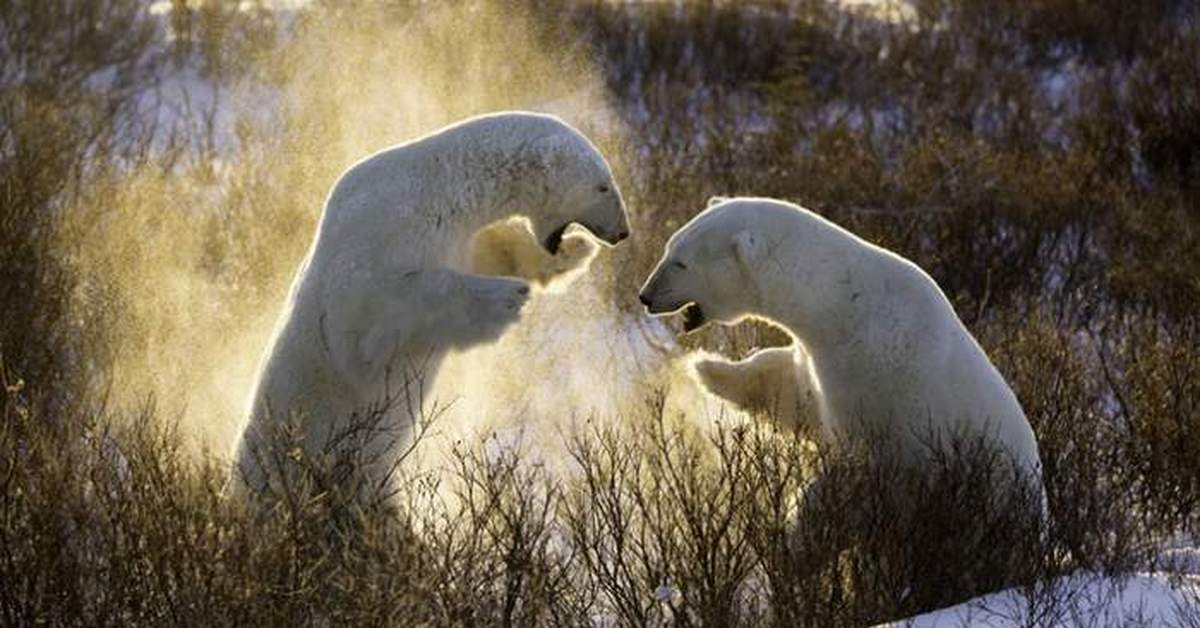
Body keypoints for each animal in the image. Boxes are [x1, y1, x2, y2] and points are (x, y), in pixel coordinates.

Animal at [231, 112, 628, 497]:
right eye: (603, 185)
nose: (622, 233)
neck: (439, 189)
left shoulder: (457, 239)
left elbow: (492, 251)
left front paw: (575, 250)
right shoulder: (379, 232)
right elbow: (371, 316)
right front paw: (506, 298)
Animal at [643, 196, 1046, 487]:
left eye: (680, 263)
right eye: (668, 247)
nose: (645, 296)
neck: (843, 307)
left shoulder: (872, 378)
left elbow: (856, 464)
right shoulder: (818, 362)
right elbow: (787, 390)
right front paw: (705, 367)